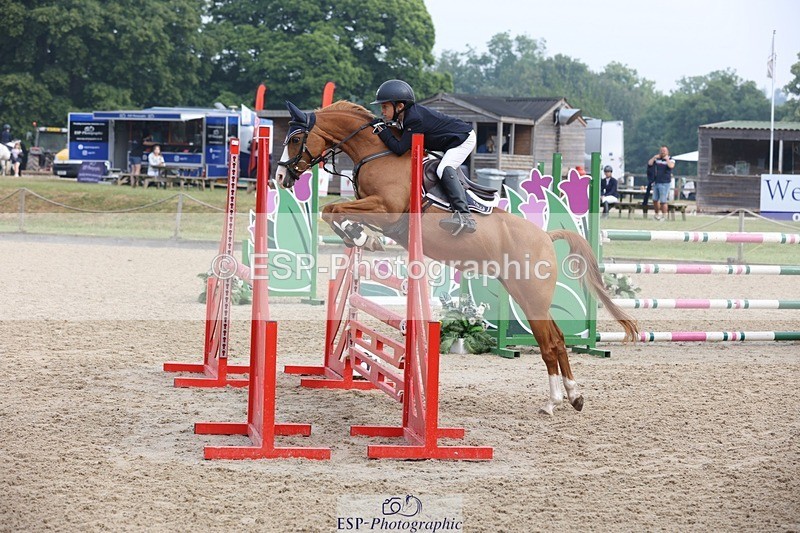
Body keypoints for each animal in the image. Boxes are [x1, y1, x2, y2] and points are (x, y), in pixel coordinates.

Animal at [277, 100, 638, 416]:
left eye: (294, 139)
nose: (280, 178)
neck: (376, 153)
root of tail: (546, 238)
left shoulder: (386, 209)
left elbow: (333, 210)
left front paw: (364, 236)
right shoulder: (373, 207)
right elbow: (334, 211)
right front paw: (360, 236)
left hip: (531, 298)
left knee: (549, 344)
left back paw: (553, 403)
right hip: (525, 295)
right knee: (559, 340)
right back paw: (573, 397)